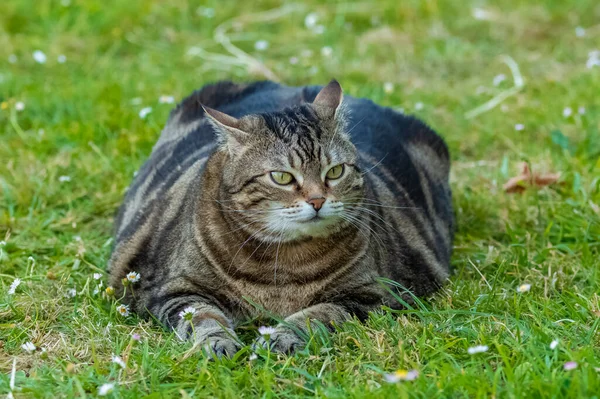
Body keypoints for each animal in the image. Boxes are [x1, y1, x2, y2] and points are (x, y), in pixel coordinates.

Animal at [109, 80, 454, 356]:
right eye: (282, 177)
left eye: (335, 172)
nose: (317, 200)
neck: (282, 266)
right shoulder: (174, 289)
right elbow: (203, 318)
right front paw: (217, 343)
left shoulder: (373, 295)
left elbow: (319, 314)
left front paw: (283, 336)